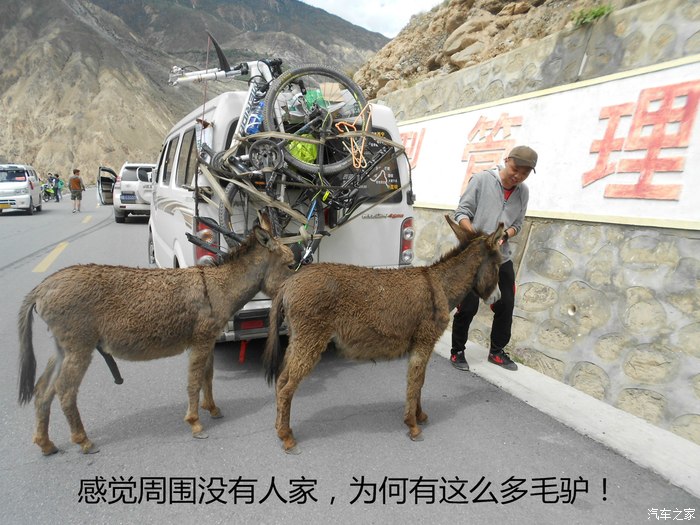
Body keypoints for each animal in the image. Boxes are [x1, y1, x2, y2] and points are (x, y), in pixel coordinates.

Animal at [18, 225, 294, 455]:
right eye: (292, 265)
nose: (291, 296)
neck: (219, 287)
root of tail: (42, 287)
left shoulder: (206, 341)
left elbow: (207, 376)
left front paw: (213, 409)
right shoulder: (201, 341)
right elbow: (194, 381)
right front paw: (195, 423)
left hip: (62, 348)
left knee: (43, 390)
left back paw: (46, 444)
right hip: (79, 348)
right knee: (65, 391)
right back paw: (83, 441)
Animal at [264, 215, 504, 453]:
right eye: (498, 265)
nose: (498, 299)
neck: (440, 286)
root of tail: (287, 284)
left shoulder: (421, 345)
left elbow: (420, 382)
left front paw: (419, 415)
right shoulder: (424, 342)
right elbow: (415, 382)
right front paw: (413, 426)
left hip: (298, 339)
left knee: (281, 380)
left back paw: (280, 428)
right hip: (310, 340)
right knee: (286, 389)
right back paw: (287, 438)